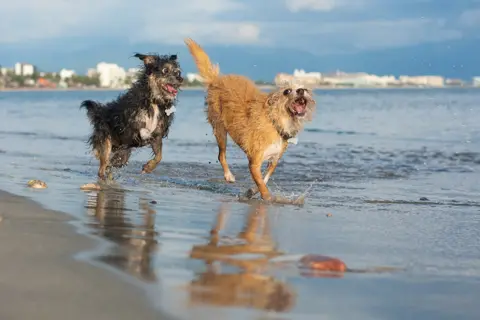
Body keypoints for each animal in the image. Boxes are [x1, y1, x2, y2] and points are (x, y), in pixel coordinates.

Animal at [184, 38, 316, 201]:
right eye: (287, 91)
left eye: (304, 88)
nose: (301, 91)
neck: (276, 121)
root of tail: (217, 80)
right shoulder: (254, 162)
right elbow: (261, 184)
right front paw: (267, 198)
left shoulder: (274, 159)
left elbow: (265, 177)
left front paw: (252, 191)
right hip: (220, 129)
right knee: (221, 155)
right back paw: (228, 176)